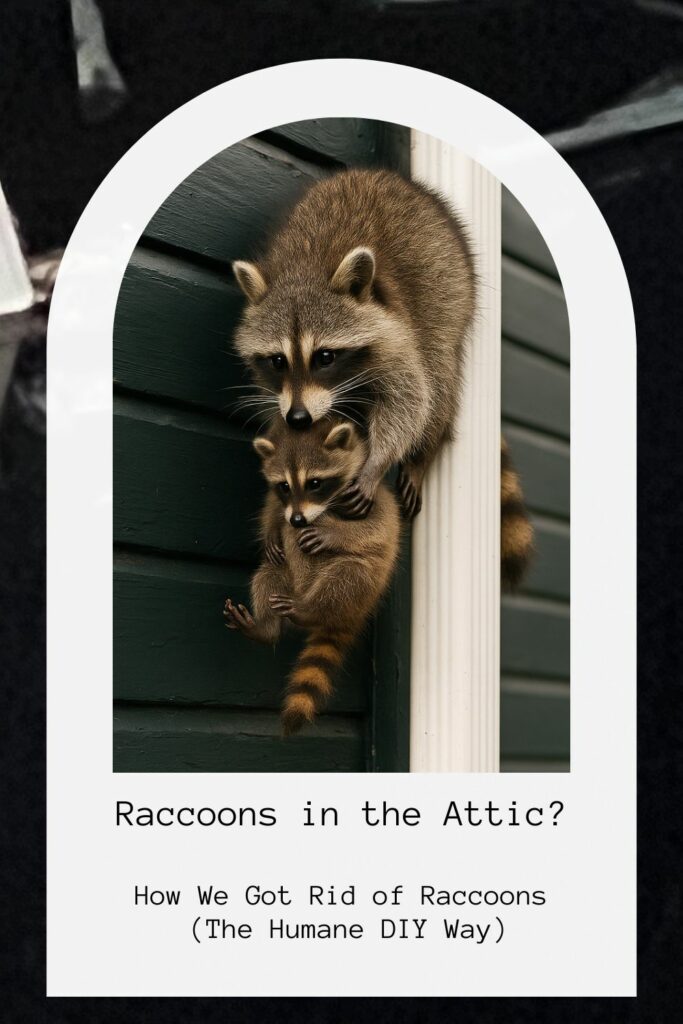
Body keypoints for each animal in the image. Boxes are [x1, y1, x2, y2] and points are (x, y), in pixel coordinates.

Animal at [223, 417, 401, 735]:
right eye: (284, 486)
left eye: (315, 483)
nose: (297, 518)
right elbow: (274, 515)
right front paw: (272, 528)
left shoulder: (372, 499)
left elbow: (377, 530)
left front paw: (333, 532)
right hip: (284, 578)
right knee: (268, 573)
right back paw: (266, 628)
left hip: (359, 585)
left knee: (347, 574)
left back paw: (309, 610)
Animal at [231, 167, 533, 585]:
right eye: (277, 360)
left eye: (325, 357)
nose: (300, 417)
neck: (305, 270)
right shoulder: (277, 387)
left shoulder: (396, 332)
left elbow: (410, 399)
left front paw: (377, 461)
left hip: (450, 291)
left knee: (438, 374)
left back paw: (426, 448)